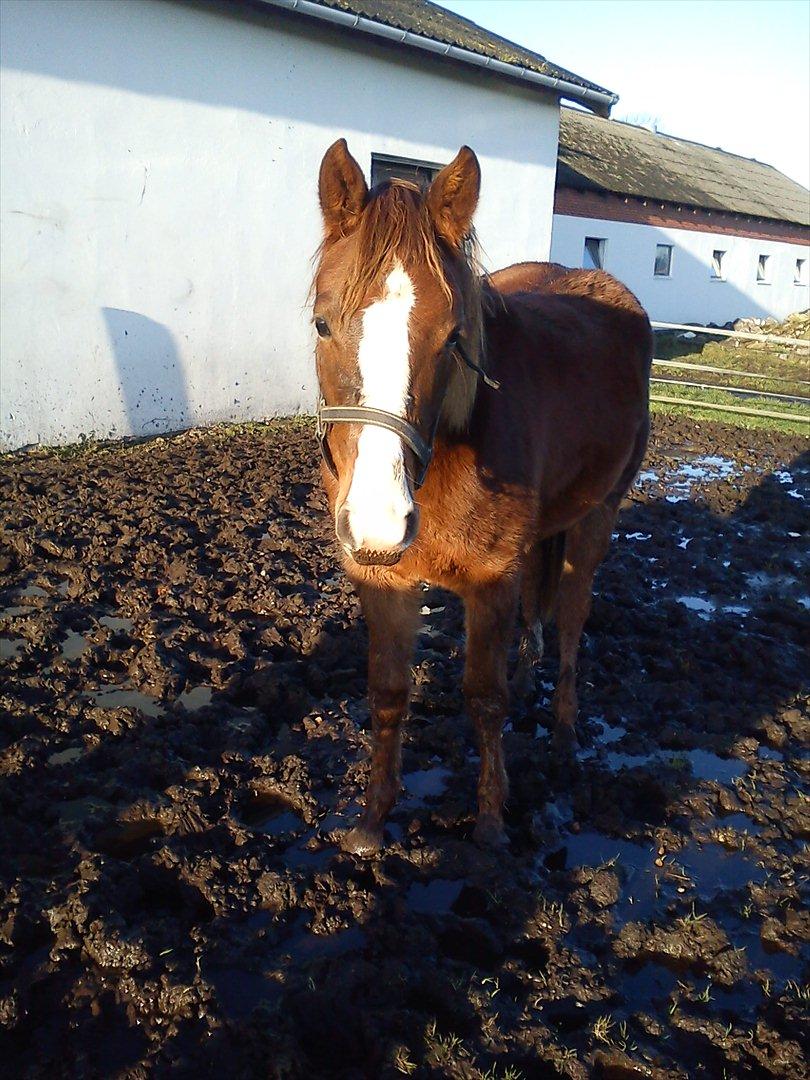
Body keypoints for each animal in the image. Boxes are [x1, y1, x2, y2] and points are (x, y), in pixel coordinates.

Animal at [311, 141, 652, 851]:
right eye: (323, 324)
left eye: (452, 335)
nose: (381, 520)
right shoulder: (382, 579)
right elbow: (388, 692)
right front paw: (371, 820)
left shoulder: (491, 577)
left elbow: (483, 697)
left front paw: (492, 823)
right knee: (537, 612)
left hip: (598, 517)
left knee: (571, 619)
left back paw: (564, 735)